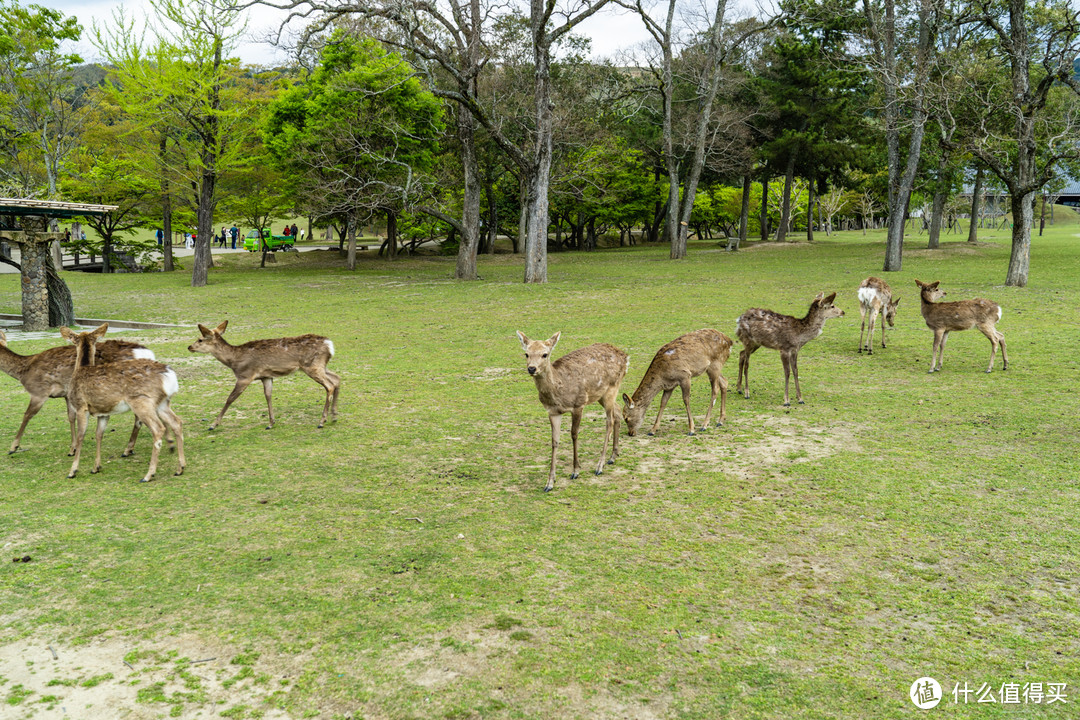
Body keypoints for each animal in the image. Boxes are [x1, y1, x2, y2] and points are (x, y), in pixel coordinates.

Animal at [61, 321, 185, 481]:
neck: (81, 369)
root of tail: (169, 376)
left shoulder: (81, 406)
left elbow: (81, 436)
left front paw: (73, 471)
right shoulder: (104, 413)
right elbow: (99, 435)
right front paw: (96, 467)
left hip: (142, 401)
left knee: (158, 429)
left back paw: (148, 474)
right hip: (162, 403)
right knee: (177, 422)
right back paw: (180, 468)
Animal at [185, 321, 336, 433]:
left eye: (200, 339)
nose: (189, 347)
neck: (234, 361)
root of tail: (329, 345)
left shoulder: (245, 376)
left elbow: (230, 398)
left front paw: (213, 425)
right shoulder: (266, 376)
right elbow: (268, 395)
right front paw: (271, 423)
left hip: (312, 366)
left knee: (330, 385)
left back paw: (322, 421)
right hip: (321, 366)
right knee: (336, 379)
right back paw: (334, 416)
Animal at [516, 330, 630, 490]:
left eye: (545, 354)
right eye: (526, 354)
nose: (532, 368)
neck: (559, 392)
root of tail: (625, 357)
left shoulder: (578, 404)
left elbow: (574, 434)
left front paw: (575, 471)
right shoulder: (552, 412)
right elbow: (554, 441)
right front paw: (550, 482)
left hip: (612, 388)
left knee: (610, 421)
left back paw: (599, 466)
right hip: (601, 395)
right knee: (618, 411)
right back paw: (613, 457)